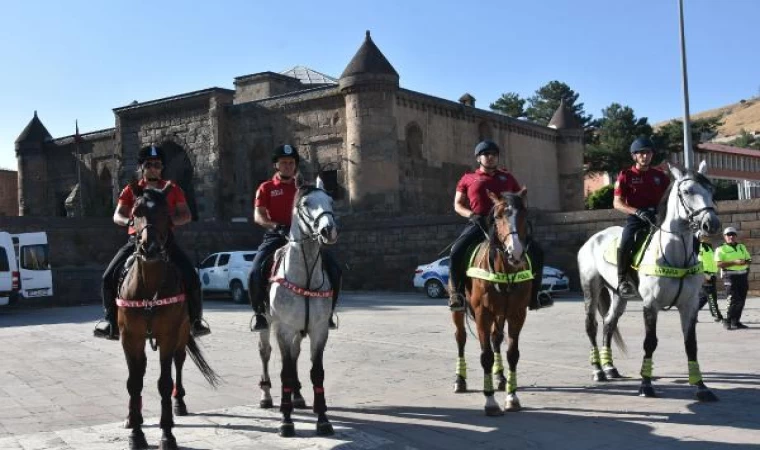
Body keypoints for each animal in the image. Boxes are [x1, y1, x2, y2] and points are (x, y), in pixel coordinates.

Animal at [119, 183, 218, 450]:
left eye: (165, 212)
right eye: (136, 211)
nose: (150, 247)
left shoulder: (168, 335)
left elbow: (164, 382)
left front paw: (167, 434)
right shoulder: (129, 337)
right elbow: (134, 382)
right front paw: (136, 433)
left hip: (182, 332)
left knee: (179, 361)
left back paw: (179, 403)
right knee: (141, 370)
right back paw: (133, 417)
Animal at [256, 178, 336, 438]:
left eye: (330, 200)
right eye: (306, 203)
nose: (328, 230)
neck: (305, 276)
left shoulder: (319, 330)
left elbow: (316, 372)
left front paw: (322, 419)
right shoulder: (284, 328)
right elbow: (286, 373)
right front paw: (286, 421)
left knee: (294, 354)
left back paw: (298, 396)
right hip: (267, 324)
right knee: (266, 353)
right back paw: (267, 395)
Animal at [448, 188, 532, 416]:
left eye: (524, 214)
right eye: (498, 216)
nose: (515, 252)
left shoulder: (517, 314)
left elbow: (512, 353)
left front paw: (512, 397)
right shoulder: (482, 313)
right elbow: (485, 355)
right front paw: (491, 402)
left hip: (500, 314)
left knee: (496, 339)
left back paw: (500, 377)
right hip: (459, 309)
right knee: (460, 337)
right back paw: (460, 379)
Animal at [580, 162, 720, 400]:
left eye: (711, 191)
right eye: (687, 191)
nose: (711, 224)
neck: (675, 254)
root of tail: (593, 238)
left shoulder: (689, 305)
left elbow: (691, 344)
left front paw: (701, 387)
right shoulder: (650, 304)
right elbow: (650, 343)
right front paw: (646, 385)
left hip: (618, 295)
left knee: (609, 324)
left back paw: (610, 367)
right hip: (591, 287)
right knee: (592, 326)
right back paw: (598, 369)